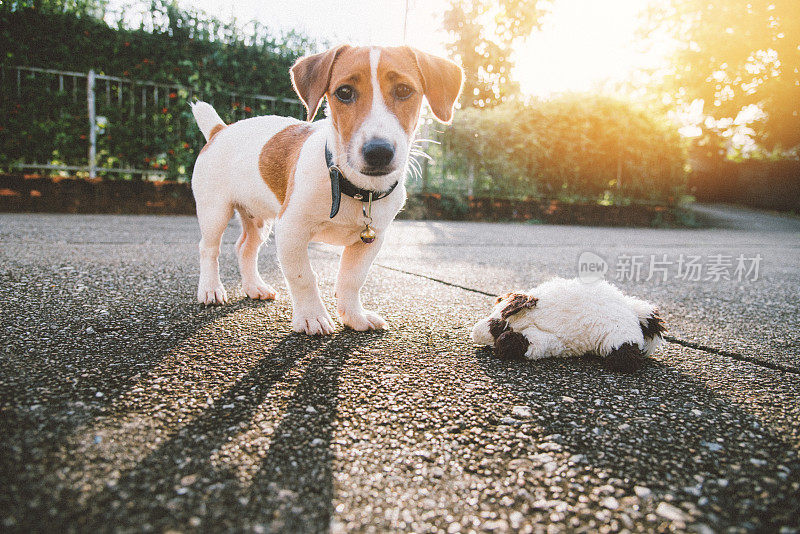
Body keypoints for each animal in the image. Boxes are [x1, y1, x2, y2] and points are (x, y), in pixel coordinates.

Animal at [189, 47, 462, 340]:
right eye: (344, 92)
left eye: (403, 90)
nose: (378, 152)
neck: (351, 187)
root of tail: (220, 130)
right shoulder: (291, 230)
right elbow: (304, 277)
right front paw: (312, 317)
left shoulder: (371, 239)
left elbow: (352, 279)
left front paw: (354, 317)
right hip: (215, 211)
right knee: (208, 248)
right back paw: (211, 289)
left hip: (258, 219)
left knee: (245, 249)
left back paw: (255, 287)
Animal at [472, 280, 664, 372]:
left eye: (497, 326)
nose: (474, 333)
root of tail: (633, 311)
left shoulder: (549, 339)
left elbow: (530, 344)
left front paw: (505, 343)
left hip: (619, 333)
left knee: (624, 351)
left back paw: (621, 360)